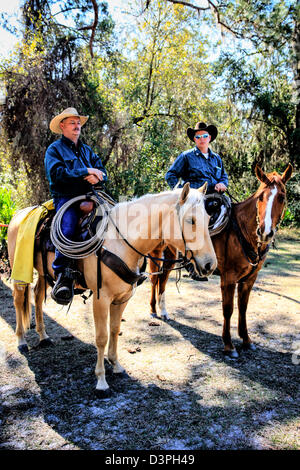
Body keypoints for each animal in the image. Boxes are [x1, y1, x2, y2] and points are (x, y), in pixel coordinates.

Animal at [7, 182, 217, 394]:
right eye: (191, 220)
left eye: (208, 218)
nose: (210, 265)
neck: (119, 243)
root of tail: (19, 214)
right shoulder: (101, 299)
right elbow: (101, 336)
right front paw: (101, 381)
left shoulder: (122, 299)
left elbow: (115, 330)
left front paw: (116, 365)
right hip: (19, 271)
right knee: (18, 299)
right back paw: (21, 341)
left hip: (43, 273)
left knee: (37, 296)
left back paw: (43, 336)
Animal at [149, 163, 292, 358]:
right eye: (261, 197)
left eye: (282, 197)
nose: (265, 232)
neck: (242, 231)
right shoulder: (228, 278)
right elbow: (228, 309)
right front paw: (229, 345)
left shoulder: (249, 279)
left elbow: (243, 307)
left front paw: (246, 340)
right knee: (155, 279)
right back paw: (153, 310)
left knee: (162, 280)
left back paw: (163, 312)